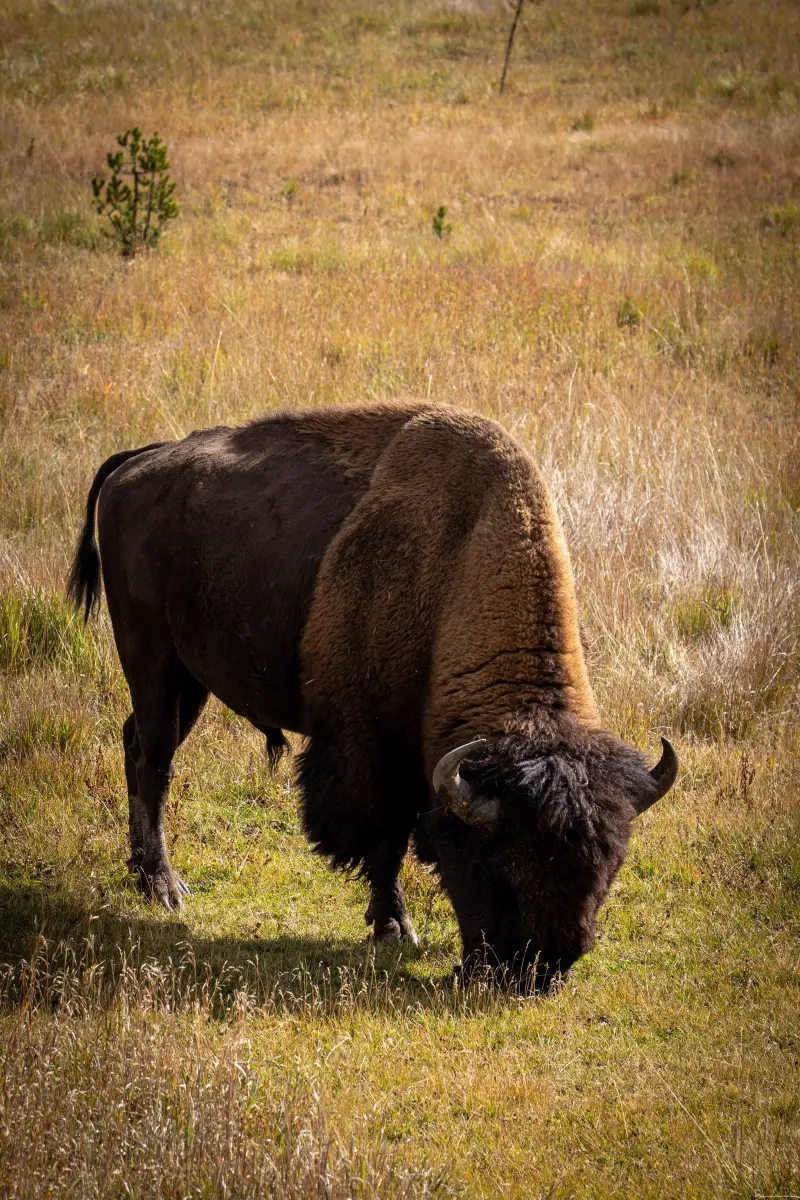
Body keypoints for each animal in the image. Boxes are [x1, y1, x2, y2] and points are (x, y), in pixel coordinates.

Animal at [69, 402, 677, 989]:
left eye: (605, 871)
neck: (456, 567)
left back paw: (139, 871)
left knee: (135, 746)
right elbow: (386, 840)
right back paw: (165, 888)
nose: (537, 971)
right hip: (153, 661)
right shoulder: (373, 751)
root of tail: (138, 462)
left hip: (191, 682)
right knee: (156, 763)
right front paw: (394, 928)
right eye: (496, 866)